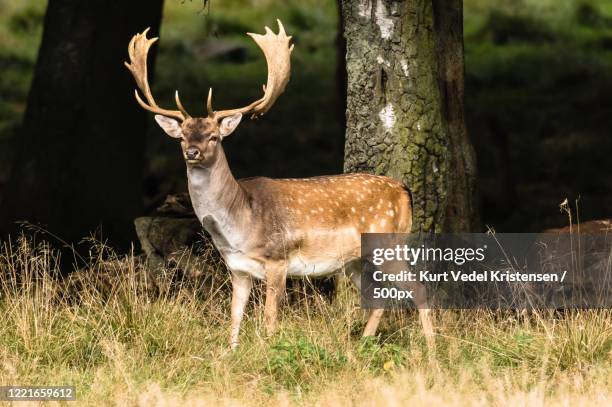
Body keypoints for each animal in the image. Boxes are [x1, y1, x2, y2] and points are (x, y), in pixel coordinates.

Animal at [124, 20, 432, 350]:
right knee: (378, 298)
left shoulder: (278, 260)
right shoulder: (237, 268)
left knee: (418, 288)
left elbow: (270, 318)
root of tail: (403, 189)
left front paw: (269, 351)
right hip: (355, 260)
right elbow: (234, 318)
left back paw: (432, 349)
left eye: (214, 137)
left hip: (388, 242)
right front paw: (230, 354)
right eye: (182, 136)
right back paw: (363, 344)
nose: (192, 152)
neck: (239, 222)